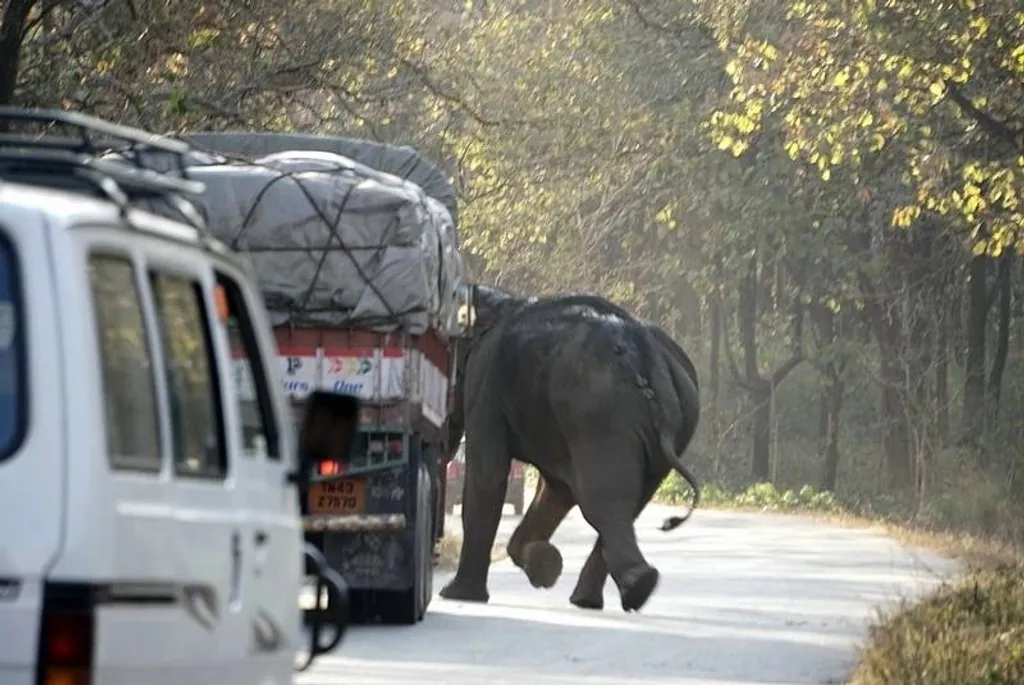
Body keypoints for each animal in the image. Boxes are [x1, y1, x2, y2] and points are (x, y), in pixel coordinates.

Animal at [436, 286, 700, 610]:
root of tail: (651, 355)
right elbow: (556, 489)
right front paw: (543, 567)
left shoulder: (485, 379)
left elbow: (489, 474)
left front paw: (456, 594)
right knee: (625, 502)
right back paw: (605, 595)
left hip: (599, 412)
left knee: (600, 498)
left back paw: (630, 589)